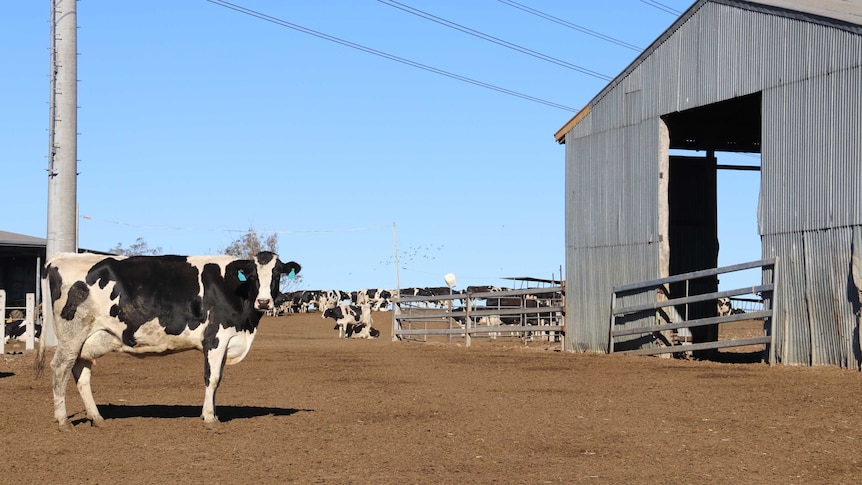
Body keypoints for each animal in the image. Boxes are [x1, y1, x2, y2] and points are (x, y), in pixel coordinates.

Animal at [35, 250, 302, 428]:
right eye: (253, 275)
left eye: (277, 274)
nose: (264, 302)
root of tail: (61, 257)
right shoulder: (215, 338)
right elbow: (212, 378)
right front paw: (209, 418)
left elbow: (217, 380)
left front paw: (213, 413)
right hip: (71, 335)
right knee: (59, 368)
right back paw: (63, 421)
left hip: (88, 339)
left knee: (81, 372)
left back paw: (97, 418)